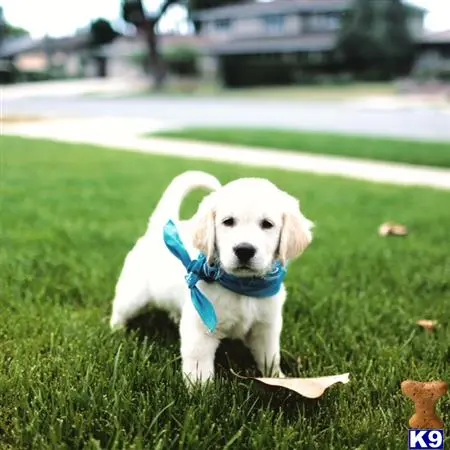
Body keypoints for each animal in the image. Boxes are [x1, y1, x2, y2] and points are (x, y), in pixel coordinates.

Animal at [109, 171, 312, 384]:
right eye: (228, 221)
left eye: (267, 224)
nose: (244, 250)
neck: (242, 286)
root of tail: (160, 227)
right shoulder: (200, 328)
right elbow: (199, 364)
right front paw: (200, 389)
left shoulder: (266, 326)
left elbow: (270, 357)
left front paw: (278, 379)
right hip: (133, 296)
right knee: (120, 310)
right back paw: (116, 330)